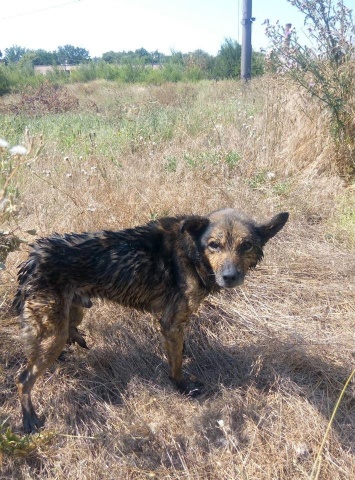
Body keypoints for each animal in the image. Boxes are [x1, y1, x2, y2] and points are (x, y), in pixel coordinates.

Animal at [12, 208, 290, 434]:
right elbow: (176, 363)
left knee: (65, 331)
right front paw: (182, 387)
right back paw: (29, 418)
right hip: (52, 334)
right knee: (23, 378)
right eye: (214, 245)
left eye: (246, 245)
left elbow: (180, 349)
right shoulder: (171, 322)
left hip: (73, 310)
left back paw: (72, 343)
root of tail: (33, 257)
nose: (229, 277)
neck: (192, 252)